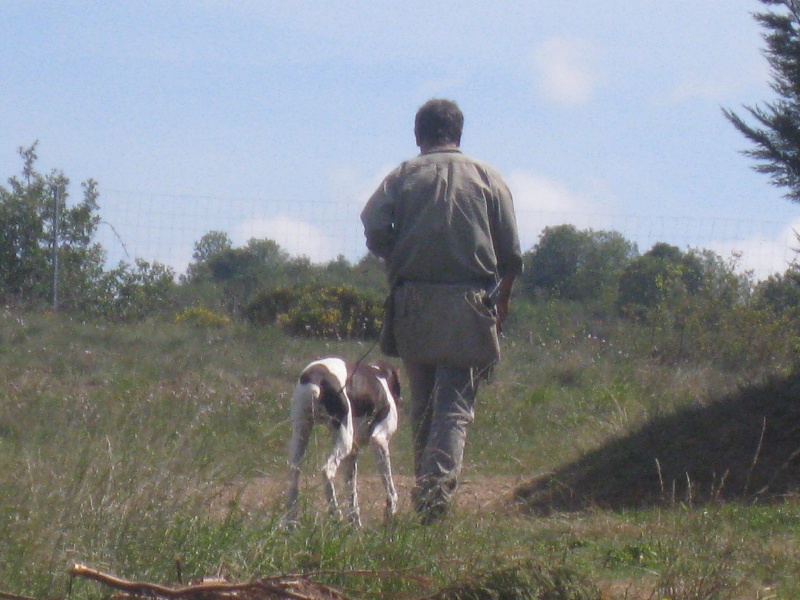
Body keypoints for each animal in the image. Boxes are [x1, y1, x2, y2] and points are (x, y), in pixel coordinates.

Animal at [286, 356, 400, 524]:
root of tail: (316, 378)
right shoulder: (379, 440)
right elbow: (391, 490)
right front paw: (390, 513)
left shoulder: (352, 454)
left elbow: (351, 494)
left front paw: (355, 524)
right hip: (344, 441)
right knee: (327, 471)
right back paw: (335, 513)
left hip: (301, 436)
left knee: (294, 474)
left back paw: (291, 520)